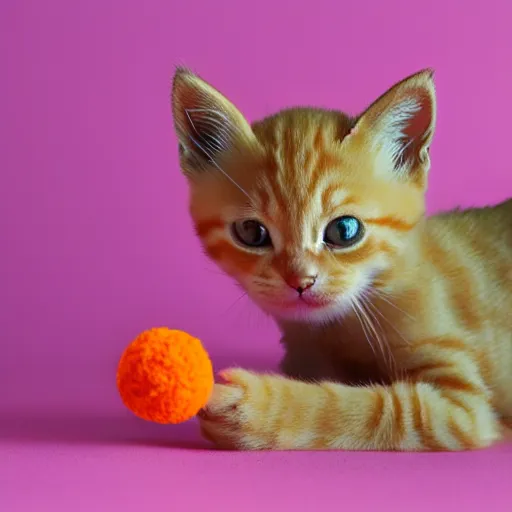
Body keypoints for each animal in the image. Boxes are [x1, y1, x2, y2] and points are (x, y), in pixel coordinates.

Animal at [170, 68, 510, 452]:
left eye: (344, 230)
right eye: (251, 232)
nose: (300, 281)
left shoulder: (461, 407)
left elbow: (380, 408)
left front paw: (258, 407)